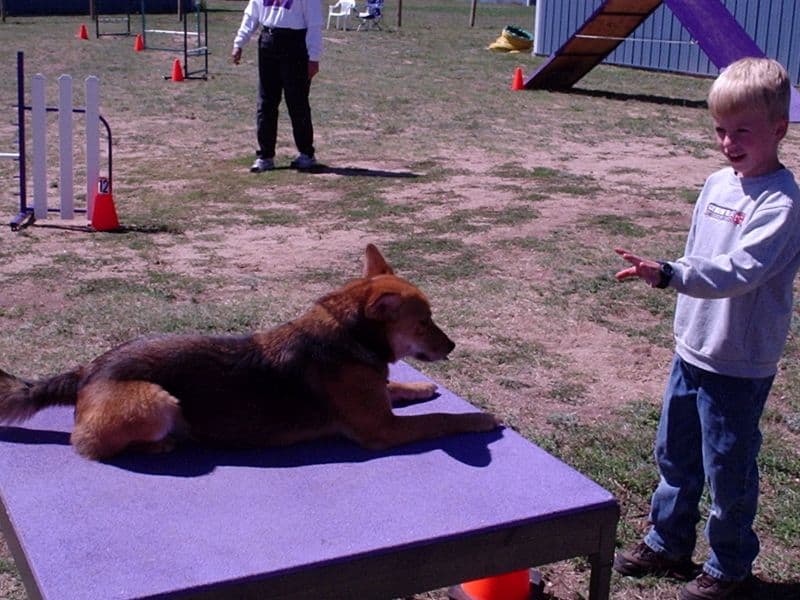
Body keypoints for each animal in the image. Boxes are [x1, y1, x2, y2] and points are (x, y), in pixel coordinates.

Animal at [0, 244, 500, 460]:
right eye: (425, 321)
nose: (452, 345)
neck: (349, 336)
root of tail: (88, 369)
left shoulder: (377, 399)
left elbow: (397, 386)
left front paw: (418, 387)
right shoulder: (383, 429)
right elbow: (441, 421)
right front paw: (478, 419)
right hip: (158, 399)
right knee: (87, 446)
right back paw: (163, 443)